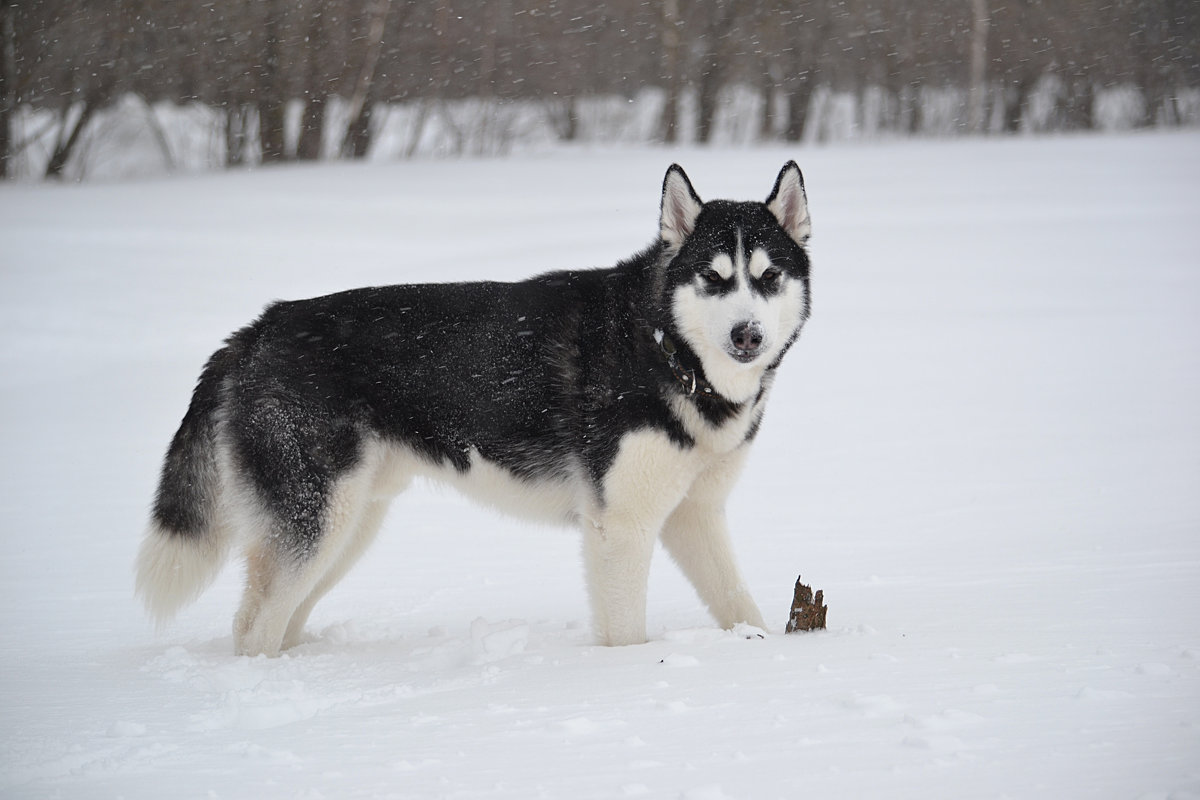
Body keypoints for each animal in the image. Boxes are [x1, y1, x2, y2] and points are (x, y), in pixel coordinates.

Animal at [138, 163, 816, 657]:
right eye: (714, 278)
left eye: (768, 277)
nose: (748, 335)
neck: (666, 349)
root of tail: (257, 329)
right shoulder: (620, 527)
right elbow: (626, 636)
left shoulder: (693, 514)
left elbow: (739, 603)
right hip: (317, 522)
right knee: (253, 629)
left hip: (348, 527)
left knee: (277, 620)